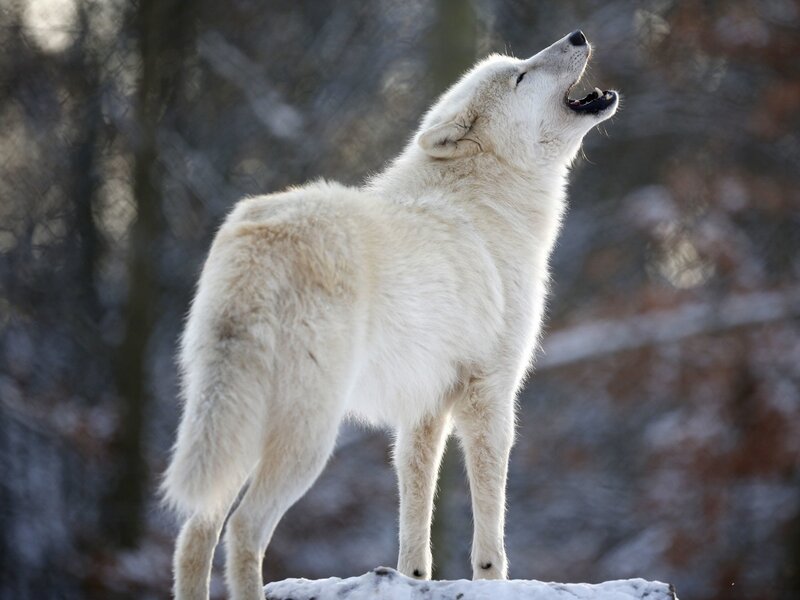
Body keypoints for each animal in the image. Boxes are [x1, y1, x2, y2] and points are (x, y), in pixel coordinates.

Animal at [164, 30, 618, 600]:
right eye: (521, 76)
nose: (577, 35)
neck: (488, 202)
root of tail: (260, 238)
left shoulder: (424, 406)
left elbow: (415, 508)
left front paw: (411, 578)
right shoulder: (489, 394)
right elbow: (490, 521)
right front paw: (492, 579)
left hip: (238, 426)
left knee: (194, 533)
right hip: (308, 437)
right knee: (243, 529)